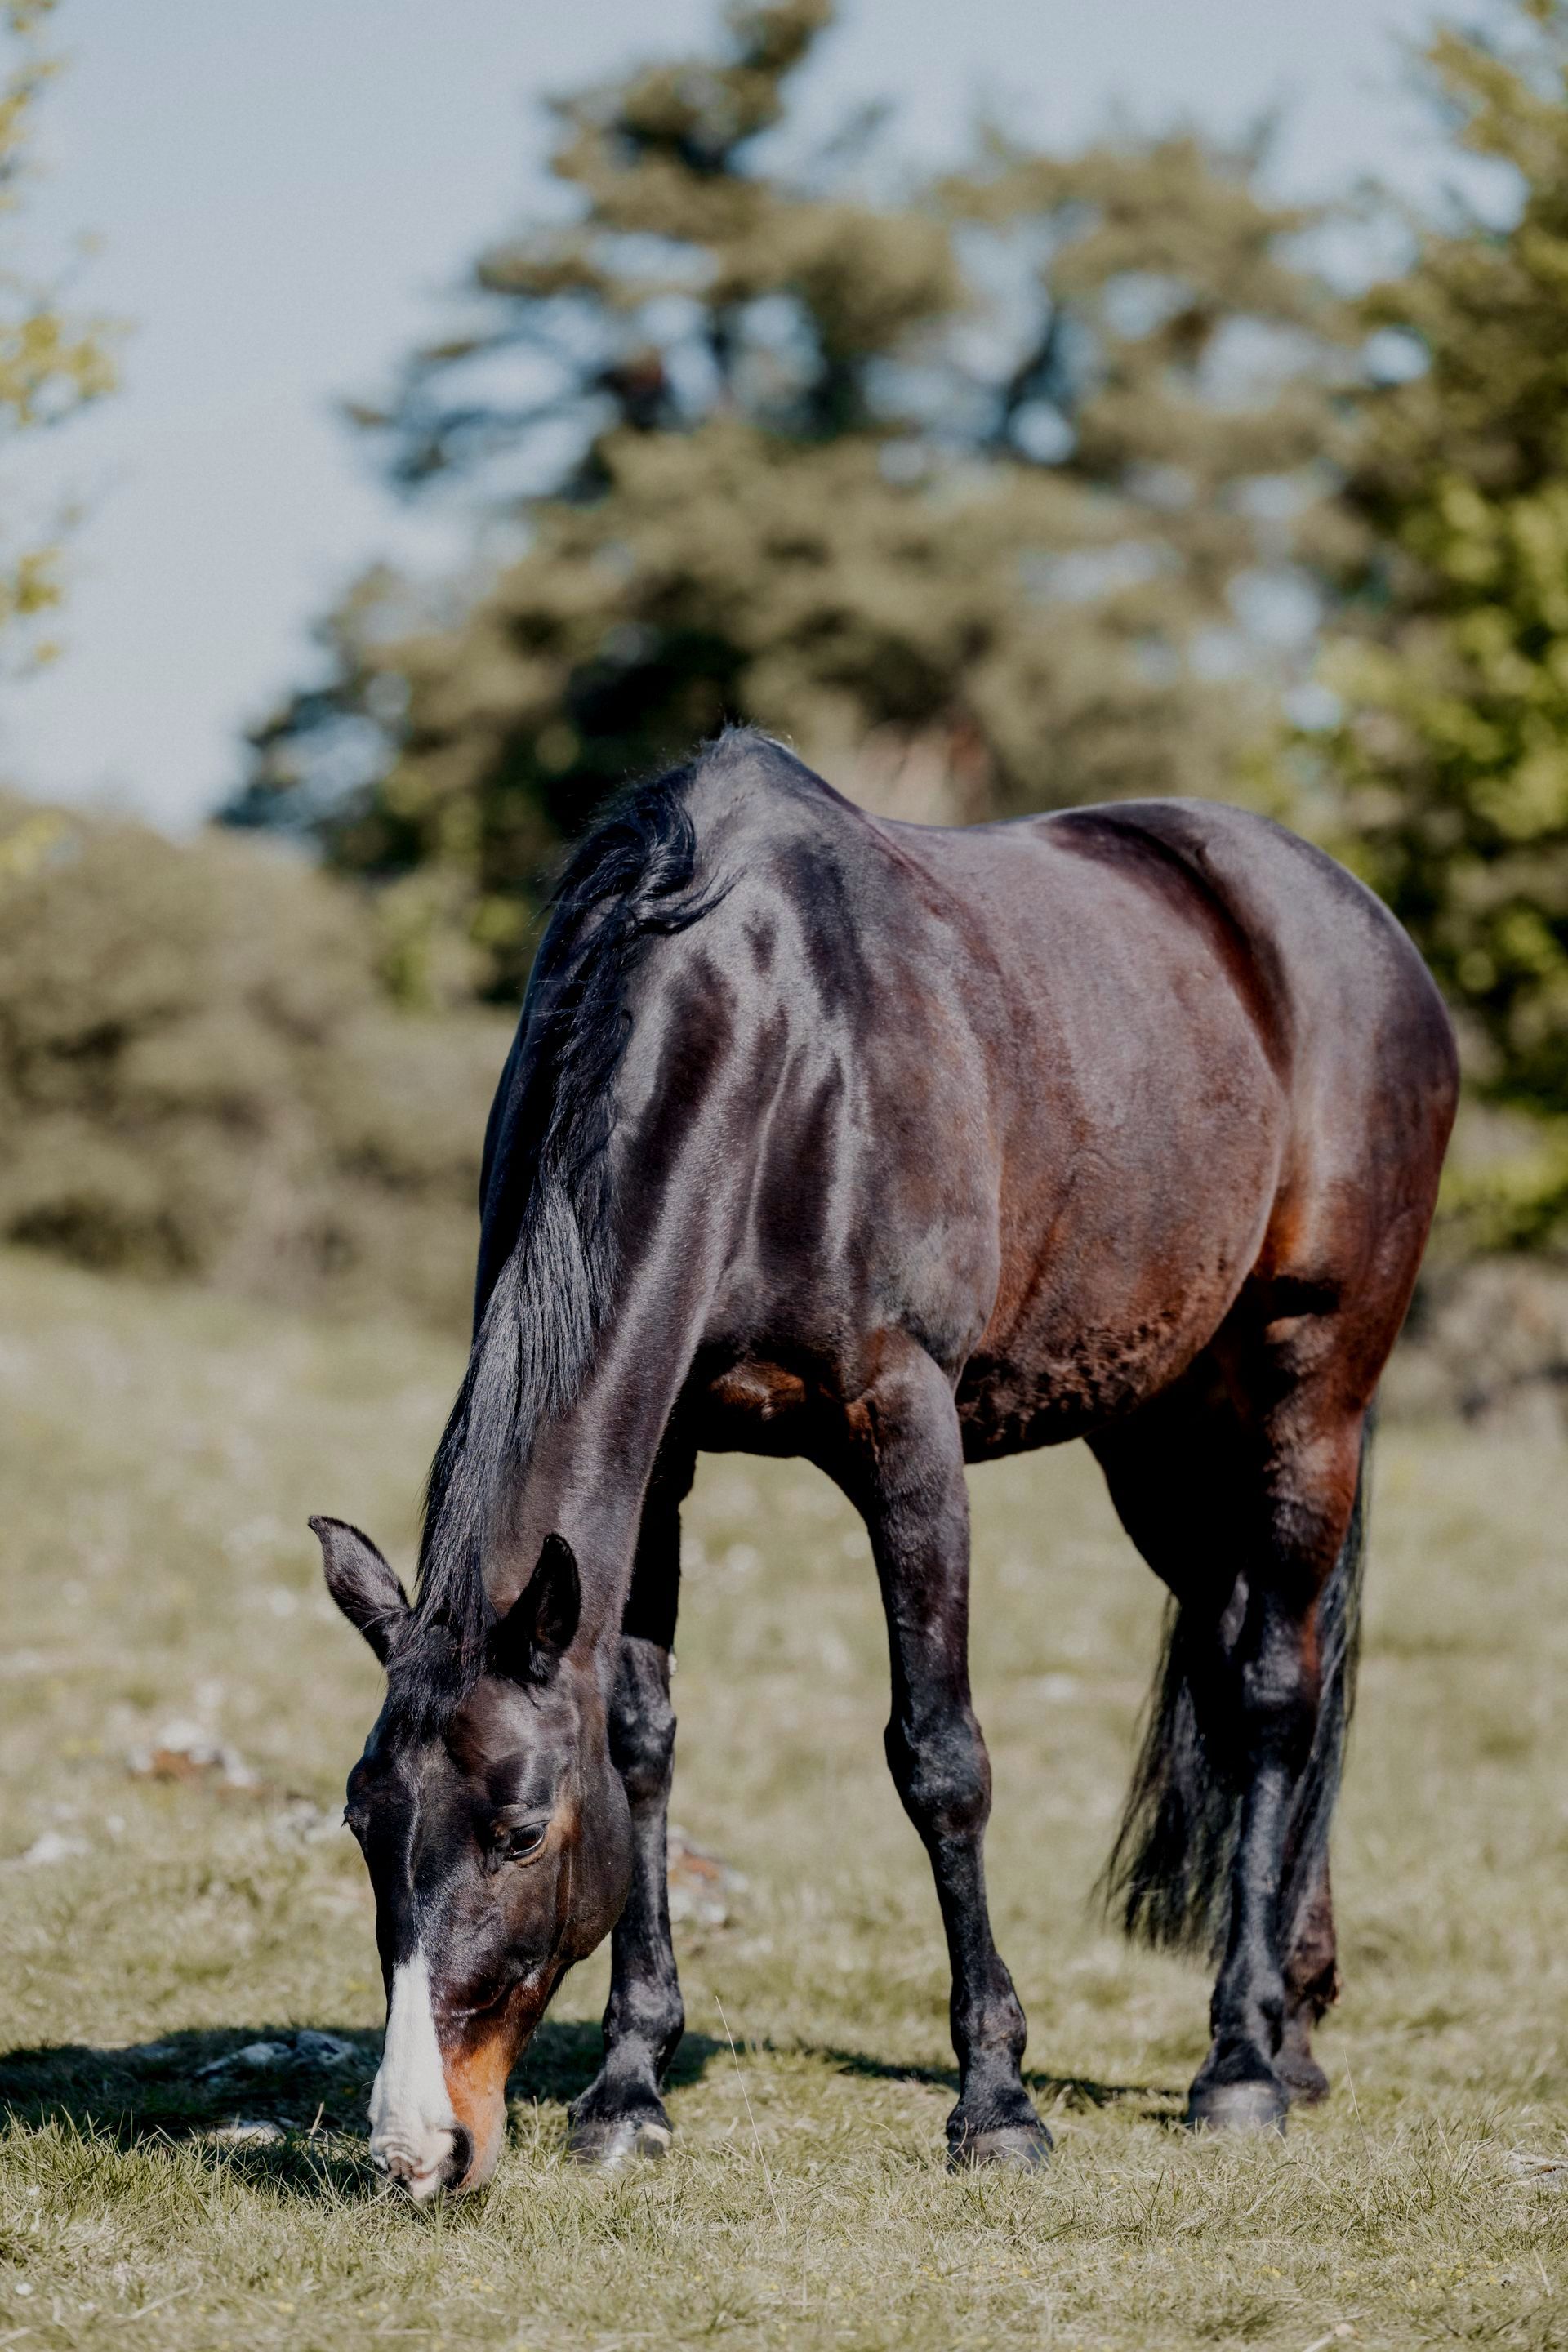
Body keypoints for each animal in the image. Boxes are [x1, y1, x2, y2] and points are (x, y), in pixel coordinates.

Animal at [310, 727, 1456, 2199]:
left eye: (519, 1829)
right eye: (363, 1823)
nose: (414, 2145)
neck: (776, 1047)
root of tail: (1356, 921)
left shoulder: (906, 1424)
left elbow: (940, 1757)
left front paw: (997, 2102)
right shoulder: (661, 1461)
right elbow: (642, 1745)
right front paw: (629, 2088)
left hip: (1310, 1392)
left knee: (1272, 1693)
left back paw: (1243, 2063)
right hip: (1163, 1437)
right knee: (1243, 1645)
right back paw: (1293, 2023)